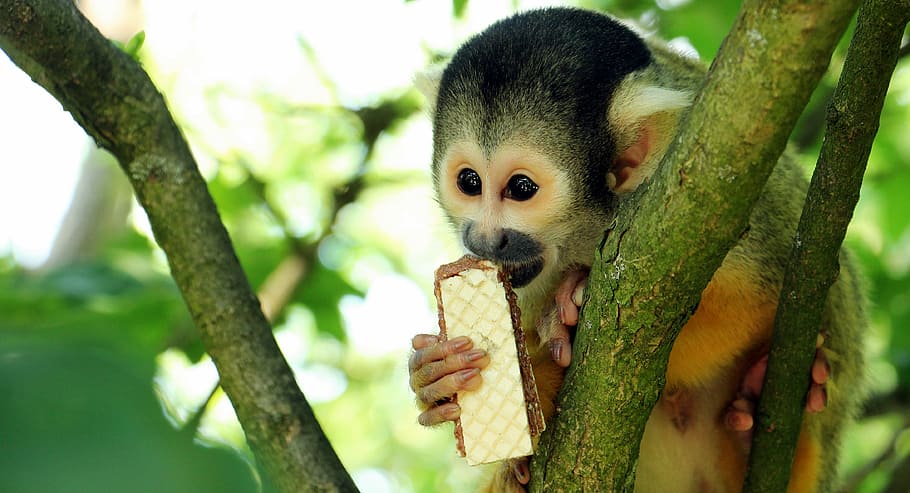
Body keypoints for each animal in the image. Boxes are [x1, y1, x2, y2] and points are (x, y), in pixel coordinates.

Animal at [407, 7, 866, 493]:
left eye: (521, 188)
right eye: (469, 182)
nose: (483, 240)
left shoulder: (720, 198)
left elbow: (752, 302)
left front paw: (567, 315)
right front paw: (436, 375)